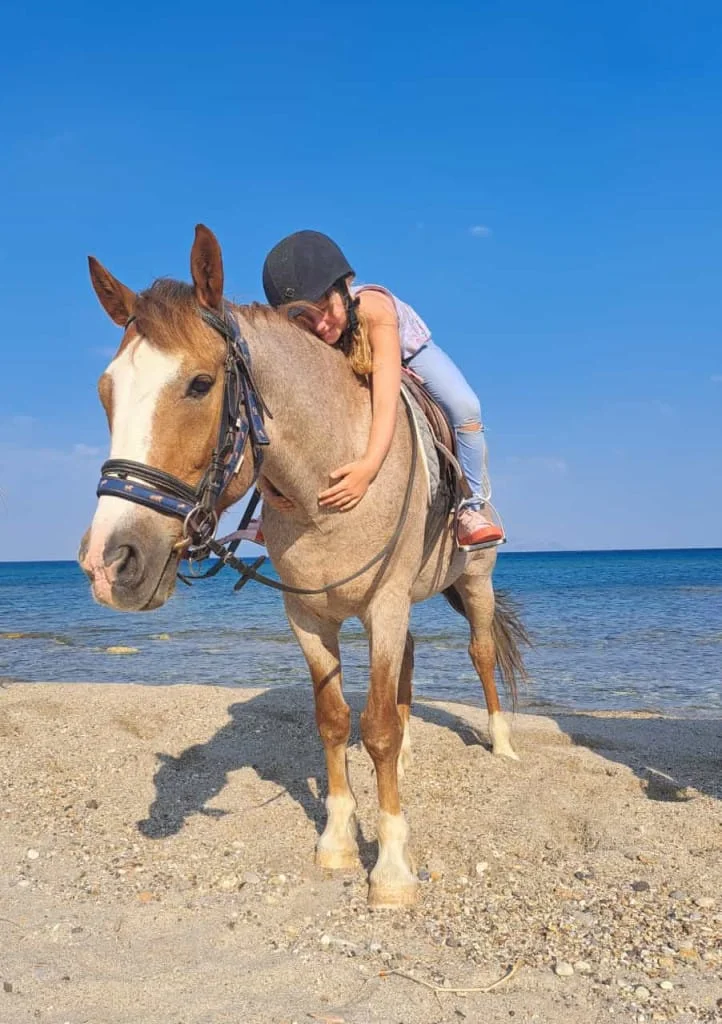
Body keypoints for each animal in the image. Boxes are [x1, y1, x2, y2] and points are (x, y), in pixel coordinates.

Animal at [79, 225, 527, 908]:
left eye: (200, 384)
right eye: (106, 392)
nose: (111, 563)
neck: (324, 484)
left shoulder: (383, 606)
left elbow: (375, 728)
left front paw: (390, 867)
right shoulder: (309, 618)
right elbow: (336, 721)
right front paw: (338, 840)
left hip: (474, 579)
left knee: (479, 651)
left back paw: (501, 744)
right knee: (410, 666)